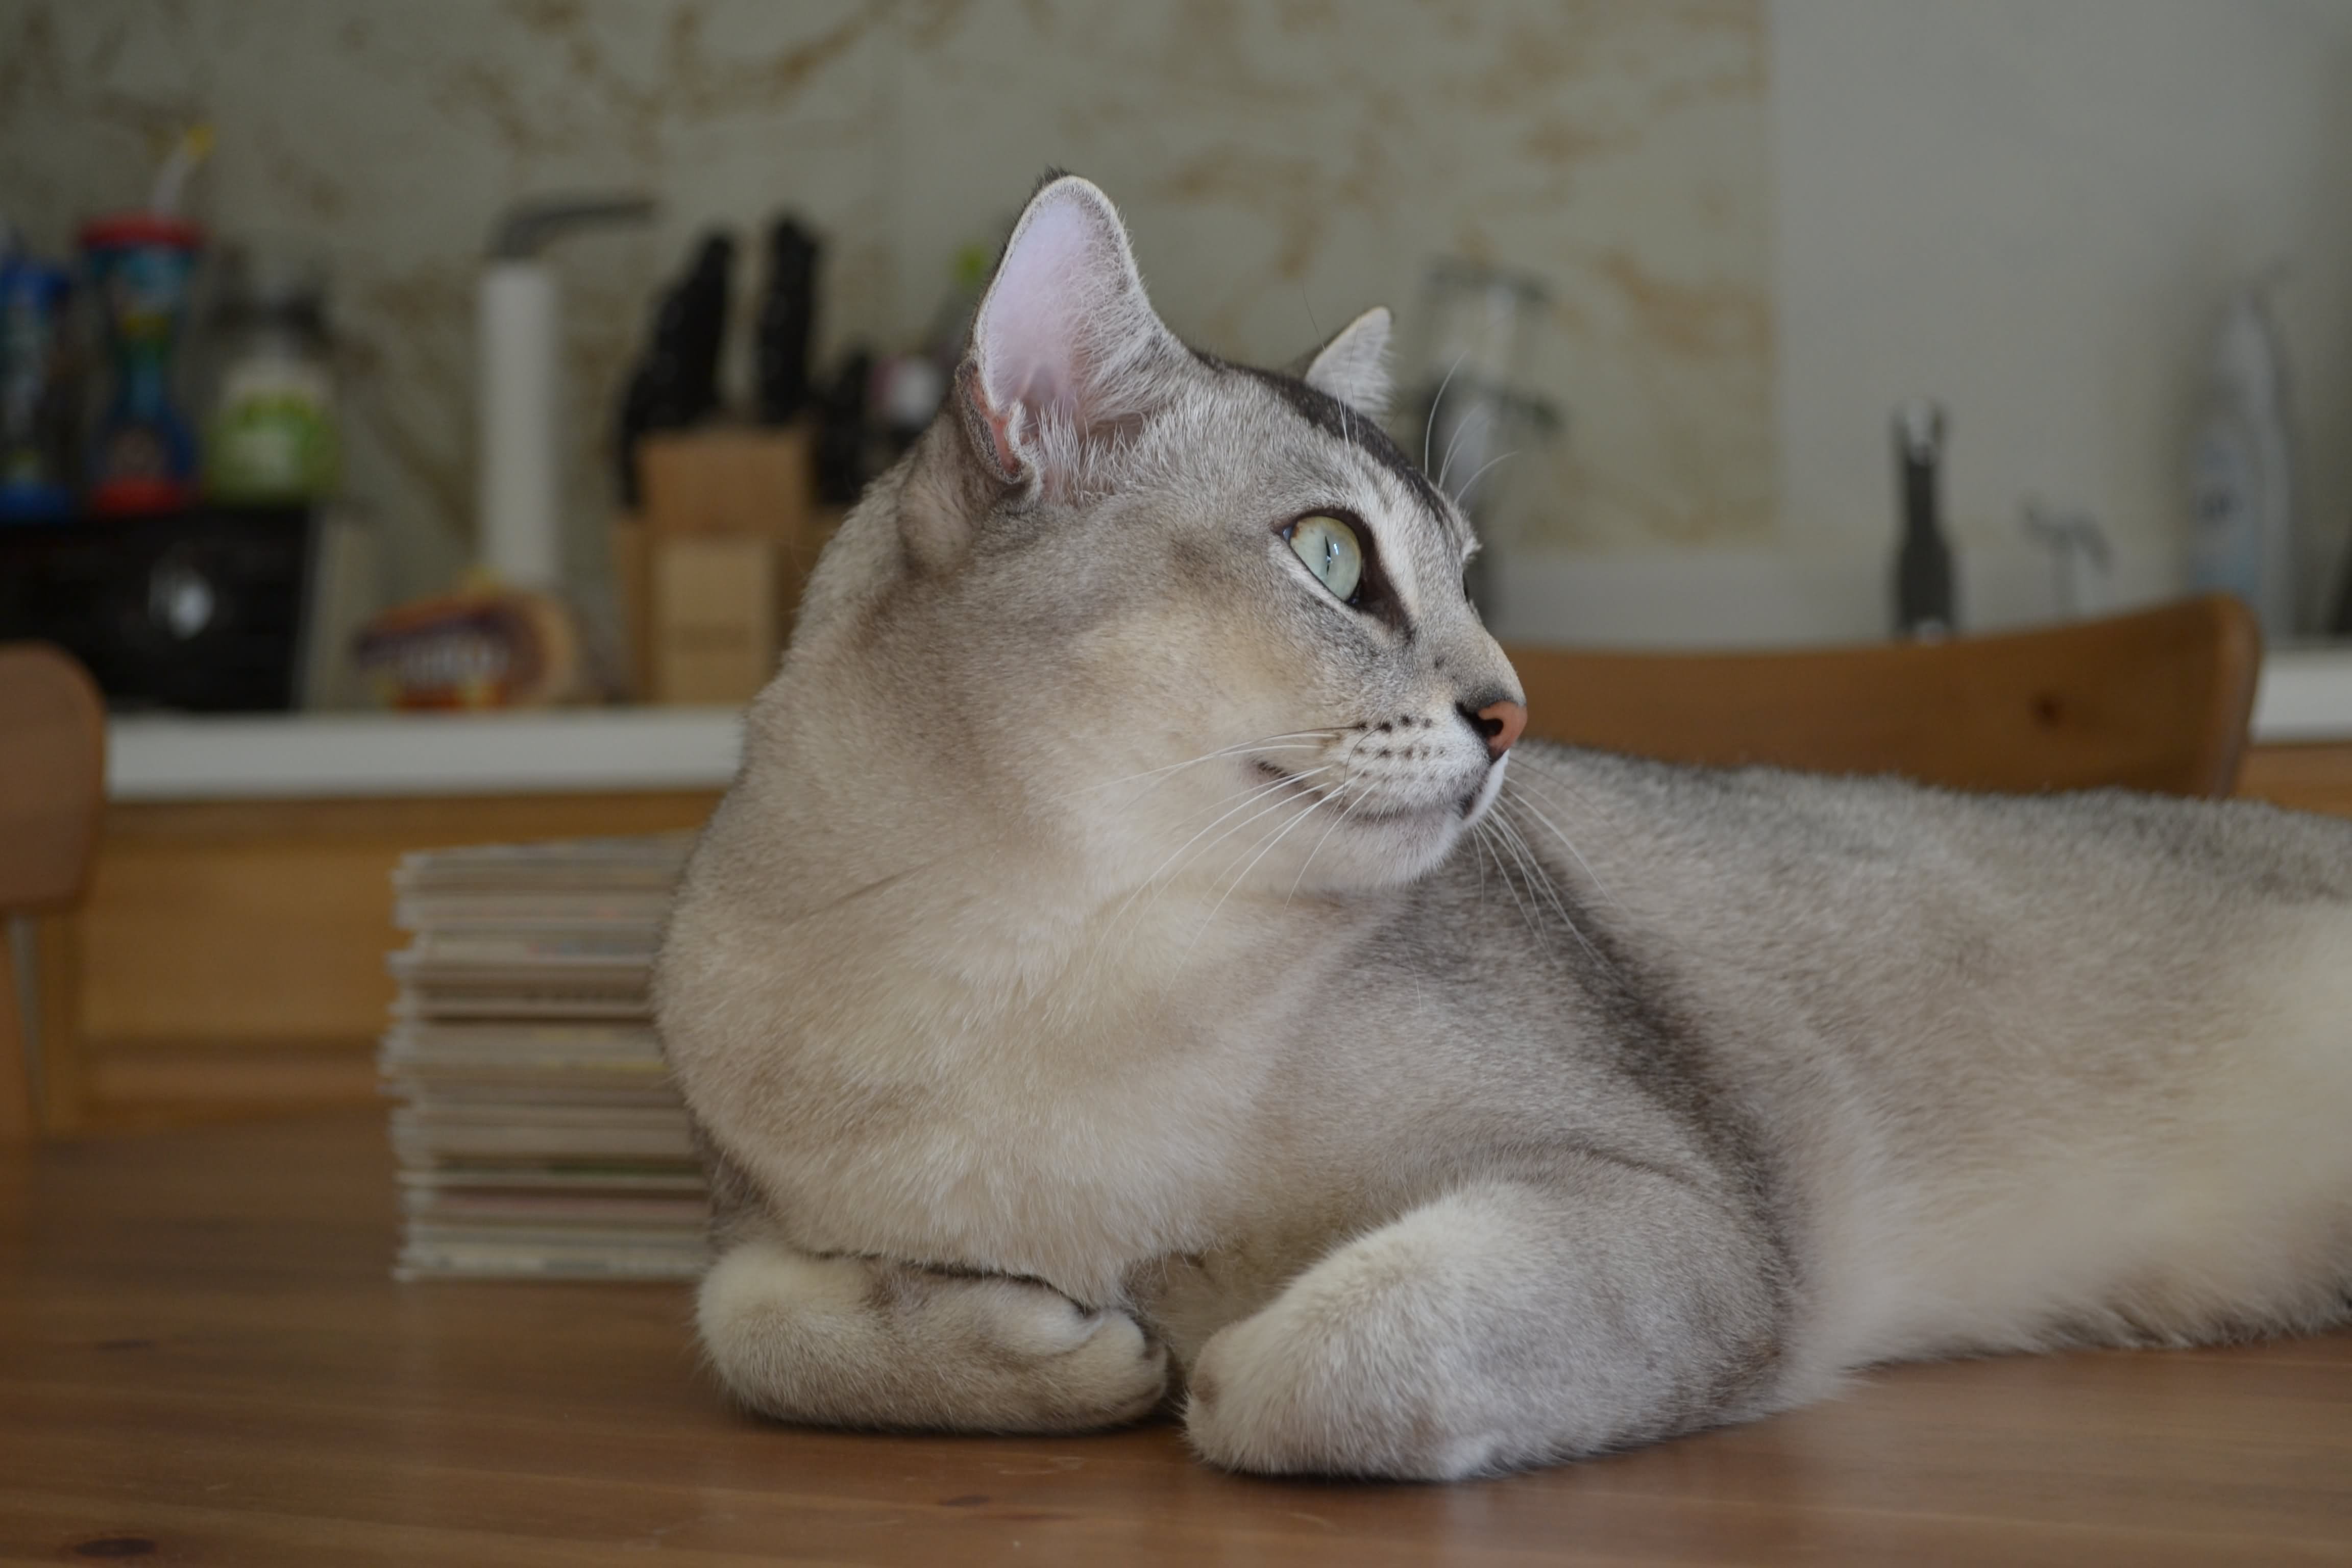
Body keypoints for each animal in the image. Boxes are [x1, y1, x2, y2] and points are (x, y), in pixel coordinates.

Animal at [654, 177, 2352, 1476]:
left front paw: (1185, 1344)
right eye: (1333, 558)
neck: (1045, 963)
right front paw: (1067, 1340)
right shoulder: (747, 1221)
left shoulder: (1682, 1211)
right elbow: (746, 1328)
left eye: (1469, 572)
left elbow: (1296, 1373)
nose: (1513, 710)